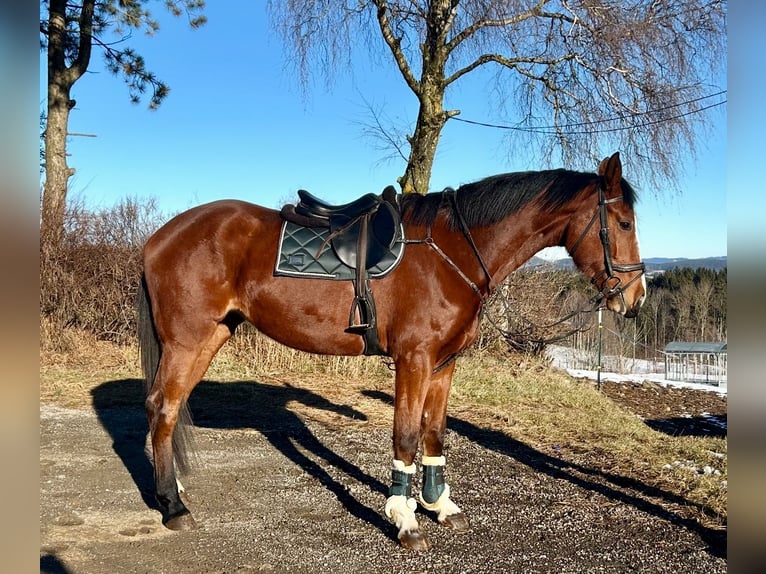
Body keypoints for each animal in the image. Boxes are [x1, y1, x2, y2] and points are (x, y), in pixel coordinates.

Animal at [138, 153, 648, 552]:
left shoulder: (444, 363)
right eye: (623, 223)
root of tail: (160, 237)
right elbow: (405, 436)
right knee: (163, 407)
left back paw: (173, 488)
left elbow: (434, 434)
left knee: (170, 408)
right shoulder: (414, 360)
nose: (636, 298)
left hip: (211, 337)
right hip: (187, 341)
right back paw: (173, 506)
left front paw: (439, 504)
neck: (453, 250)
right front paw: (405, 519)